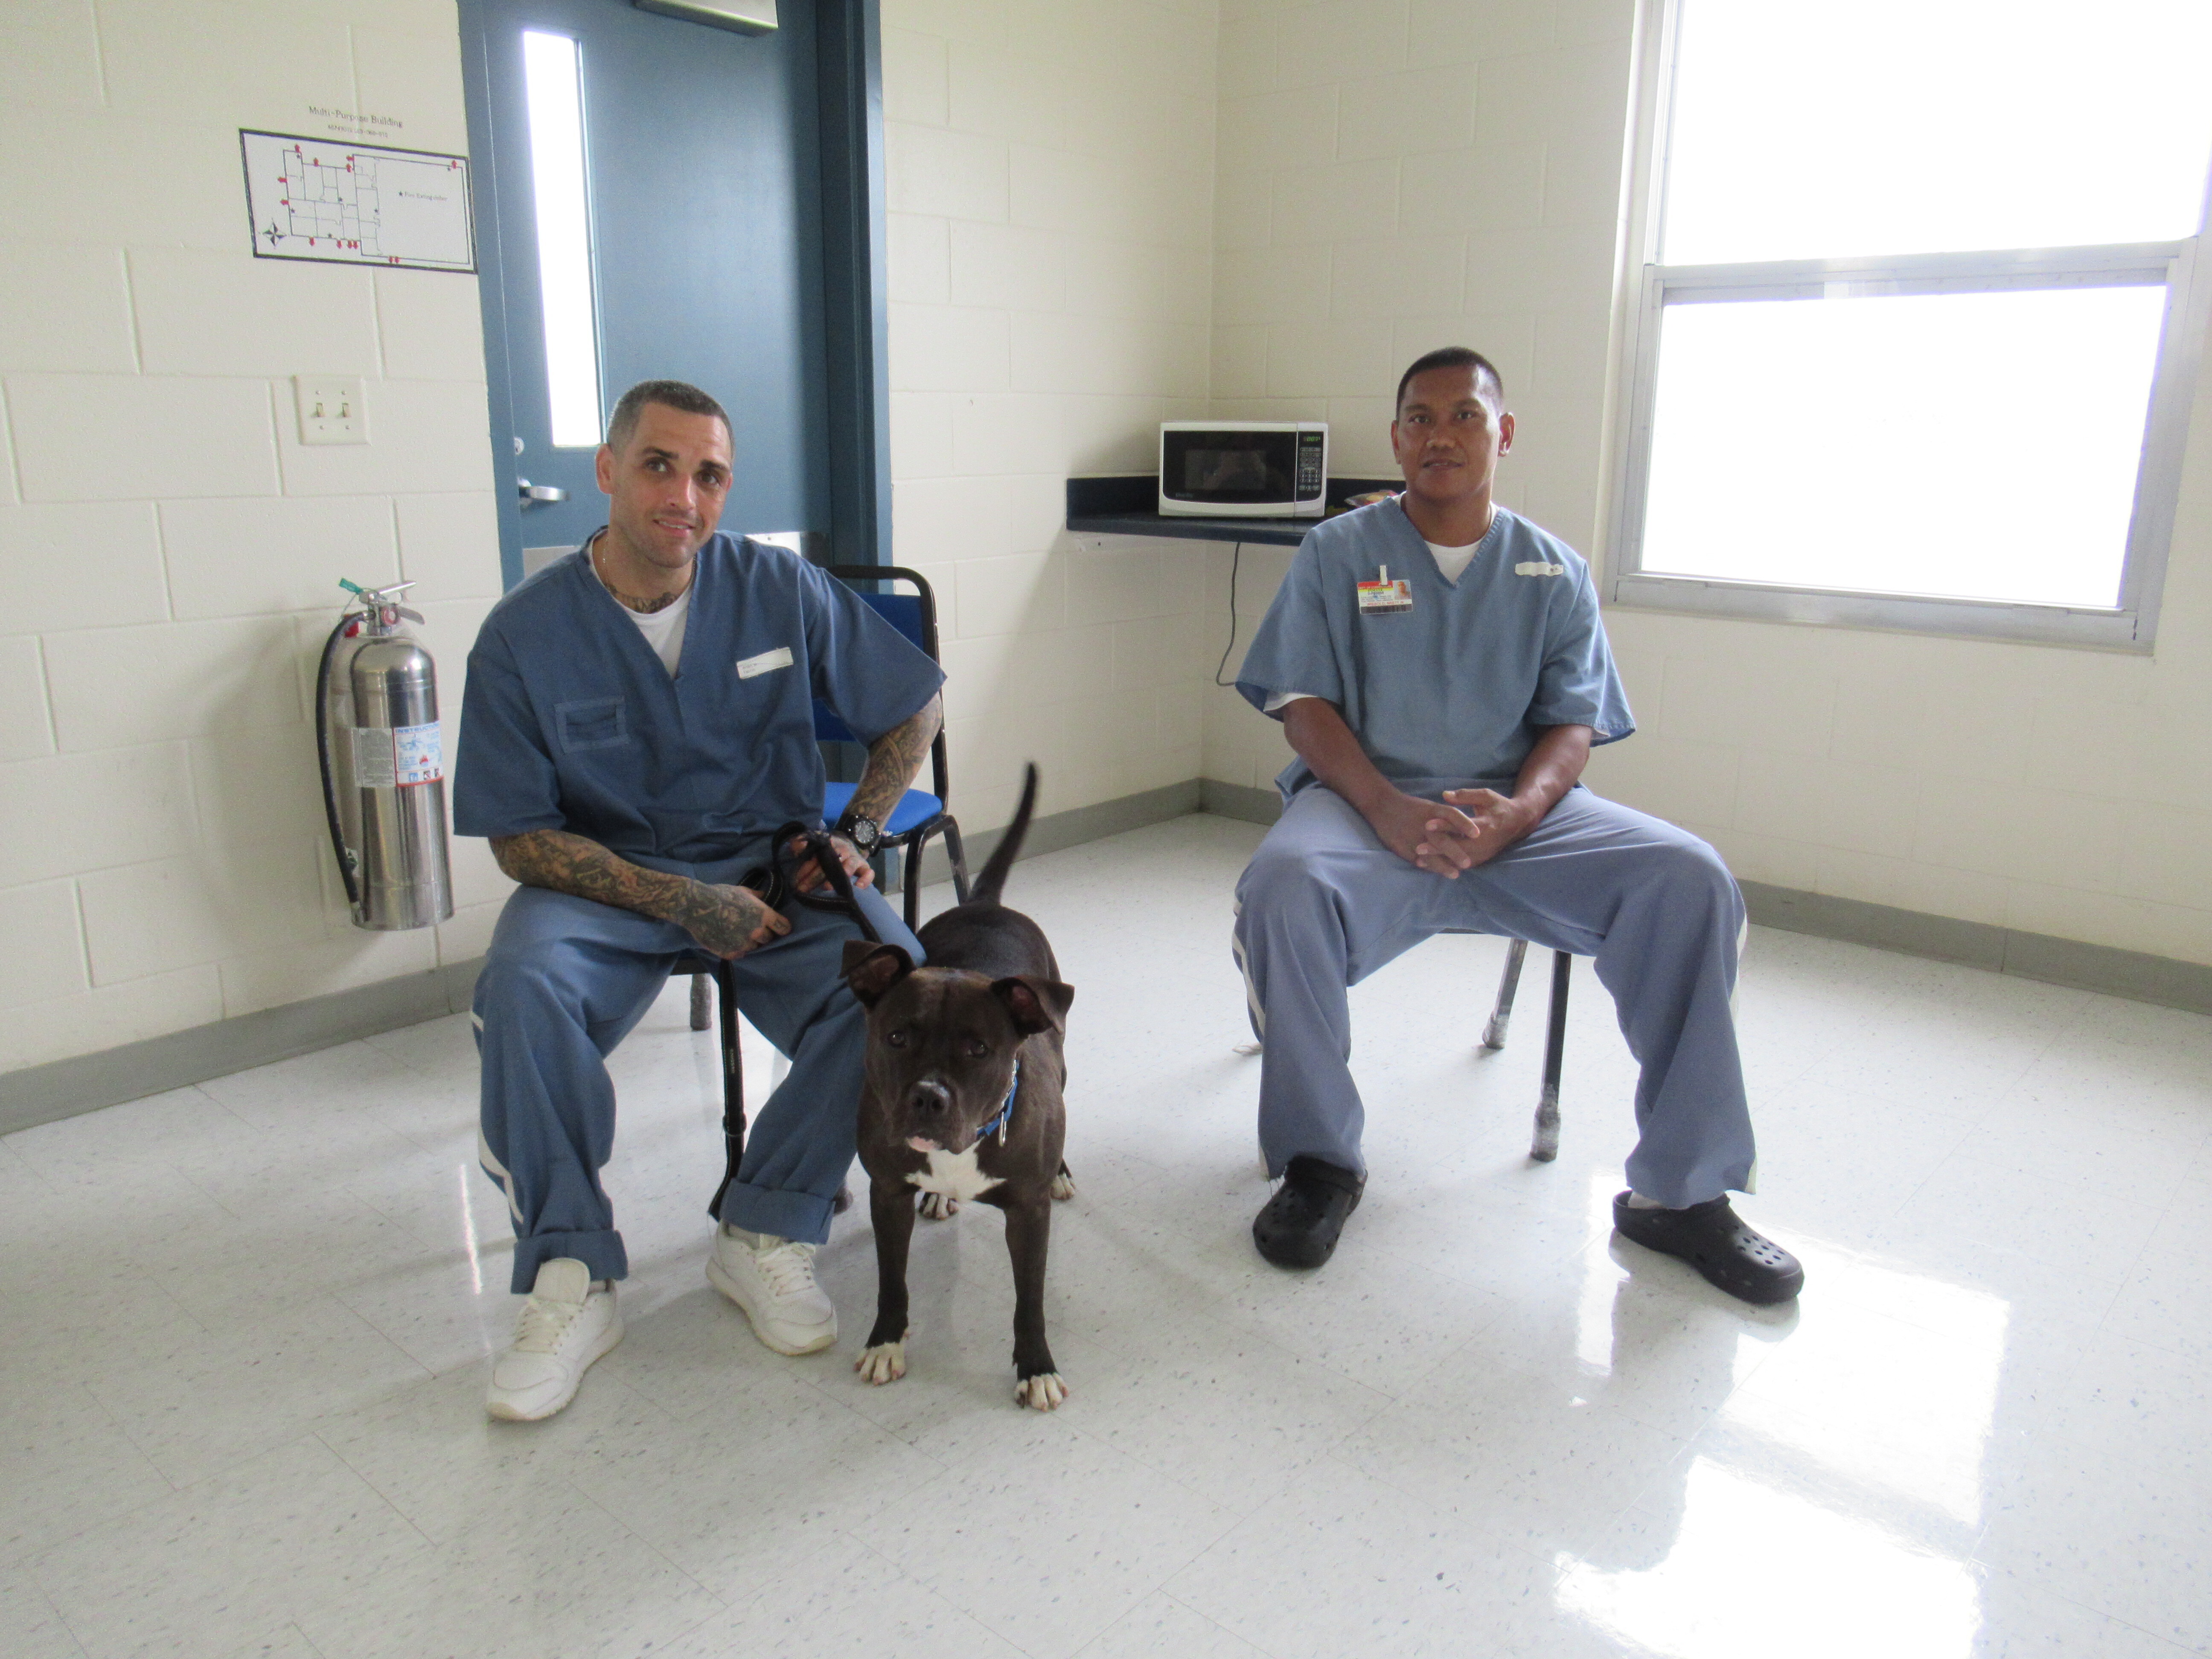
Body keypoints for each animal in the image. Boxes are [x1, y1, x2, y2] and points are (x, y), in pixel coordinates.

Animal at [840, 770, 1075, 1415]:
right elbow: (891, 1280)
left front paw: (1036, 1367)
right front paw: (885, 1342)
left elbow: (1030, 1300)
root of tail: (983, 904)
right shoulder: (887, 1192)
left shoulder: (1030, 1213)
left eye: (979, 1050)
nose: (927, 1098)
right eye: (896, 1037)